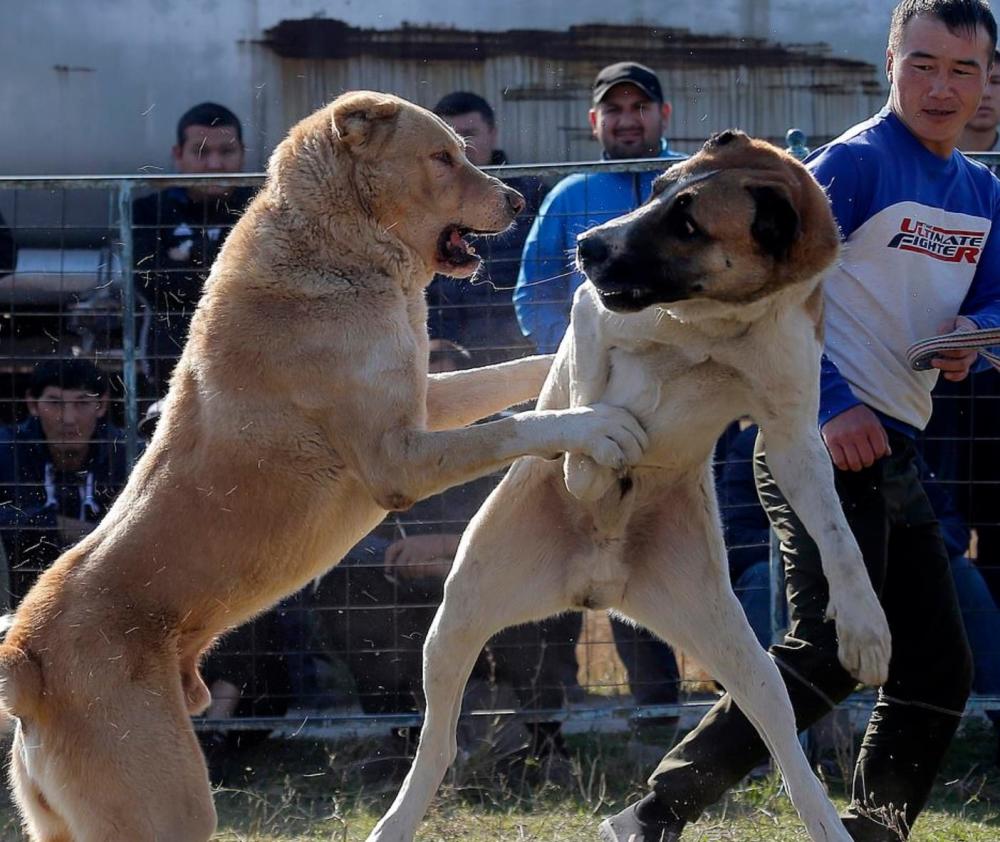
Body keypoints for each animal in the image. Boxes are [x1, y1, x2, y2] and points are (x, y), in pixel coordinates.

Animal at [0, 92, 648, 840]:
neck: (347, 252)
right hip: (168, 806)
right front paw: (595, 426)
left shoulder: (423, 403)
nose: (517, 200)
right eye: (442, 157)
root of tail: (25, 659)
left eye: (463, 152)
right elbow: (516, 425)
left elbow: (517, 372)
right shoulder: (398, 460)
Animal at [368, 131, 892, 840]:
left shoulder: (792, 434)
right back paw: (397, 818)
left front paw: (865, 626)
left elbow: (839, 534)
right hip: (457, 619)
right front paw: (588, 461)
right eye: (660, 187)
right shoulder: (591, 313)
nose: (589, 245)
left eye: (689, 224)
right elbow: (588, 383)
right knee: (439, 741)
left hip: (734, 646)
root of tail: (596, 583)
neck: (713, 324)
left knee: (777, 730)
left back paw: (824, 819)